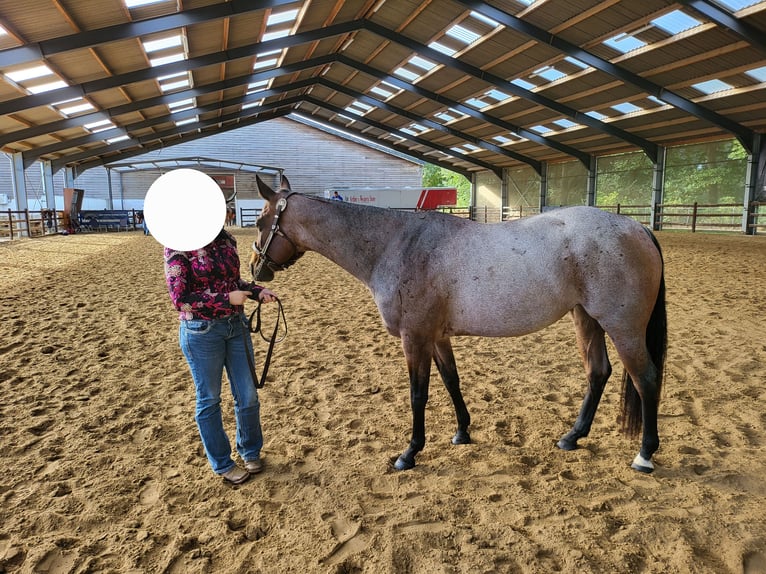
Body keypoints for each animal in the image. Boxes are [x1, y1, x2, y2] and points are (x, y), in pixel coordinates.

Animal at [250, 178, 664, 474]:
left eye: (258, 221)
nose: (256, 270)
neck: (396, 245)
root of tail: (635, 226)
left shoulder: (414, 338)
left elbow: (418, 395)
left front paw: (409, 453)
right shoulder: (436, 338)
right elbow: (452, 381)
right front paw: (462, 431)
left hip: (623, 327)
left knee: (646, 379)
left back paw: (644, 455)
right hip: (587, 319)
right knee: (598, 372)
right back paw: (572, 437)